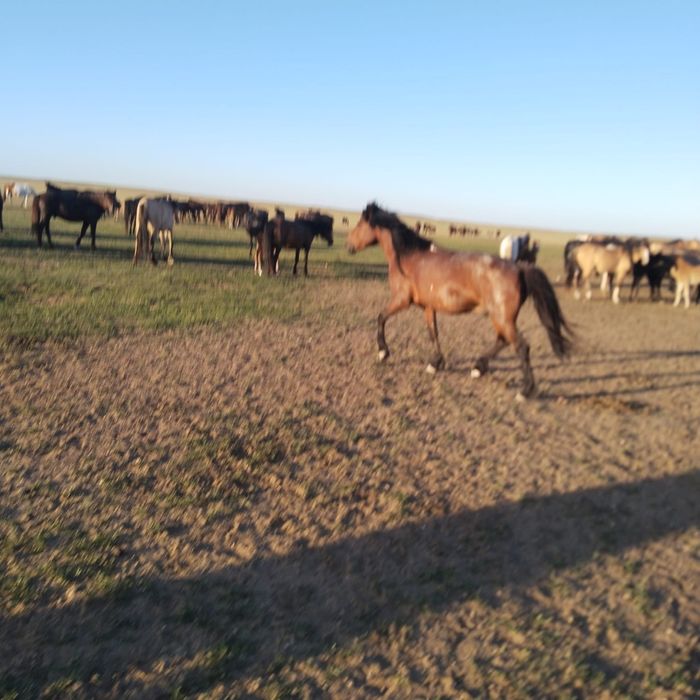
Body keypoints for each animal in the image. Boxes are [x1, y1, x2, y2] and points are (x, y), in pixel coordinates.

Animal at [346, 203, 574, 399]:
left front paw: (383, 352)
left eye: (359, 224)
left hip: (502, 318)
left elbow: (381, 318)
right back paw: (478, 368)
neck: (409, 257)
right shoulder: (428, 307)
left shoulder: (402, 300)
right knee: (502, 341)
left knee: (521, 347)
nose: (349, 246)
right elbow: (433, 333)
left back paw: (525, 391)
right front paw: (435, 364)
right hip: (500, 318)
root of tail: (519, 268)